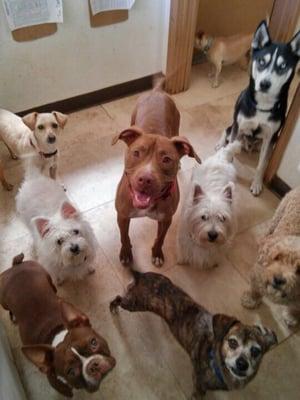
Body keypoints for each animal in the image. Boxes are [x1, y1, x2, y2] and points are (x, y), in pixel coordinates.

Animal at [0, 255, 115, 396]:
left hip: (46, 275)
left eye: (94, 342)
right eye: (71, 372)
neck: (57, 336)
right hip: (3, 301)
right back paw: (14, 317)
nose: (93, 365)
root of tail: (15, 265)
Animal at [112, 80, 202, 268]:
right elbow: (124, 237)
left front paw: (157, 253)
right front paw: (126, 254)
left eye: (166, 159)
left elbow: (160, 238)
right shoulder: (122, 216)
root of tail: (157, 91)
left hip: (177, 126)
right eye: (136, 153)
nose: (146, 179)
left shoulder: (166, 219)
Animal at [241, 186, 300, 326]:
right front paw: (251, 300)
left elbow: (296, 309)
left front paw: (291, 316)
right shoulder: (257, 276)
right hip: (279, 212)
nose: (278, 279)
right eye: (277, 257)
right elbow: (255, 290)